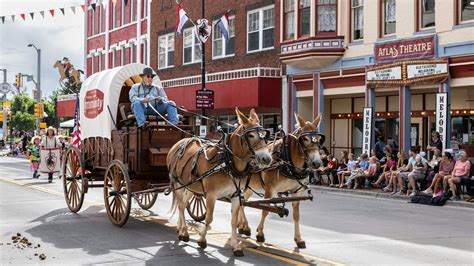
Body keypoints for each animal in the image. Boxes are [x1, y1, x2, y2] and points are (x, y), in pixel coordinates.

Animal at [167, 107, 272, 256]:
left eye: (264, 134)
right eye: (251, 135)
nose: (266, 158)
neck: (227, 162)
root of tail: (178, 144)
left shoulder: (236, 195)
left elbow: (233, 221)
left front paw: (235, 246)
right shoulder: (211, 195)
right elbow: (209, 218)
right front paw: (202, 240)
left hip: (191, 186)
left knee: (184, 203)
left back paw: (180, 228)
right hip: (178, 184)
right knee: (181, 206)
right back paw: (184, 233)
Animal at [239, 112, 324, 249]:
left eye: (318, 138)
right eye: (305, 139)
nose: (317, 162)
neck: (286, 160)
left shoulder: (297, 192)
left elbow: (296, 216)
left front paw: (298, 239)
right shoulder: (269, 189)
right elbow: (265, 210)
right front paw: (260, 234)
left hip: (249, 187)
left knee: (243, 202)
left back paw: (242, 226)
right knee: (240, 203)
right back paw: (244, 226)